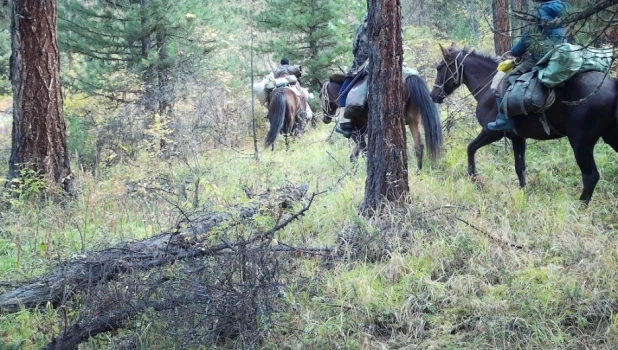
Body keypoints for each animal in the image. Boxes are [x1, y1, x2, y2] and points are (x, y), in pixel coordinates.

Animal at [428, 43, 616, 202]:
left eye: (440, 67)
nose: (433, 96)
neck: (489, 87)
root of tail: (613, 83)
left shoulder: (491, 133)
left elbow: (470, 149)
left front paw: (475, 179)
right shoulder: (518, 138)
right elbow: (520, 167)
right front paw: (523, 194)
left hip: (581, 143)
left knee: (590, 176)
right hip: (610, 137)